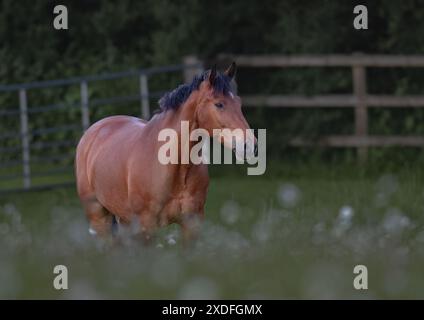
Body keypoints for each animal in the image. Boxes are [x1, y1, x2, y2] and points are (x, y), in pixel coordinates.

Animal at [74, 63, 256, 245]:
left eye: (238, 103)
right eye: (219, 104)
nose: (250, 145)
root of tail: (95, 130)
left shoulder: (192, 225)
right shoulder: (146, 228)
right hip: (99, 219)